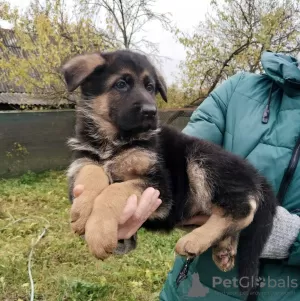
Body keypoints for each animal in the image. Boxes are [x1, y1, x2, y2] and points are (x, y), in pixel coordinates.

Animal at [62, 50, 276, 292]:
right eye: (121, 84)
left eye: (150, 87)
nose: (151, 112)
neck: (114, 141)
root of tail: (256, 175)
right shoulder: (83, 161)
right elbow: (92, 170)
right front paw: (82, 211)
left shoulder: (160, 187)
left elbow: (113, 191)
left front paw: (99, 233)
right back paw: (224, 249)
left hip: (201, 157)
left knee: (243, 209)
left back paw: (195, 241)